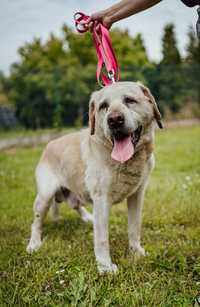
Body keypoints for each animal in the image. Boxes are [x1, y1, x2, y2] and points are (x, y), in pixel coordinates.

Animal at [26, 81, 162, 274]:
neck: (124, 162)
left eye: (129, 100)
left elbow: (134, 227)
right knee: (36, 223)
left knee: (76, 204)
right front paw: (105, 267)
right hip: (44, 197)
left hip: (73, 193)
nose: (114, 120)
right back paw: (34, 244)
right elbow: (102, 238)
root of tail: (49, 145)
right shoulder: (101, 199)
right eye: (103, 106)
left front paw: (136, 252)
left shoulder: (137, 195)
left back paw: (87, 218)